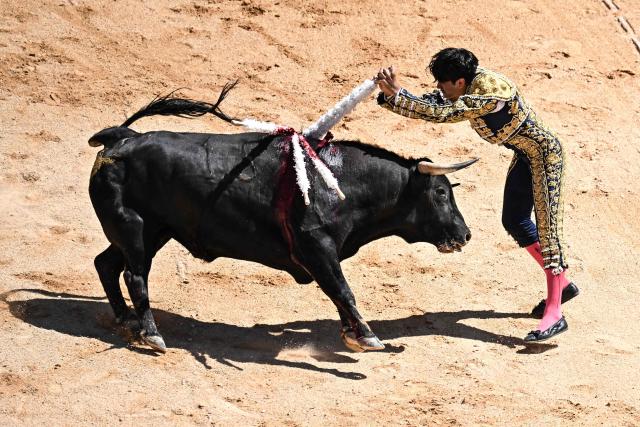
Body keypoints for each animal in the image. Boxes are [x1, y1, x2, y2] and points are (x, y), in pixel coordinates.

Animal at [88, 83, 476, 353]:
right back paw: (152, 334)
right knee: (134, 275)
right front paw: (367, 337)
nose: (465, 234)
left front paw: (351, 334)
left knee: (106, 264)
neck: (343, 181)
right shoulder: (316, 245)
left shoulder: (321, 253)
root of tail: (123, 140)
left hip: (151, 232)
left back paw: (126, 319)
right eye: (441, 193)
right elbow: (342, 289)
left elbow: (338, 292)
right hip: (135, 227)